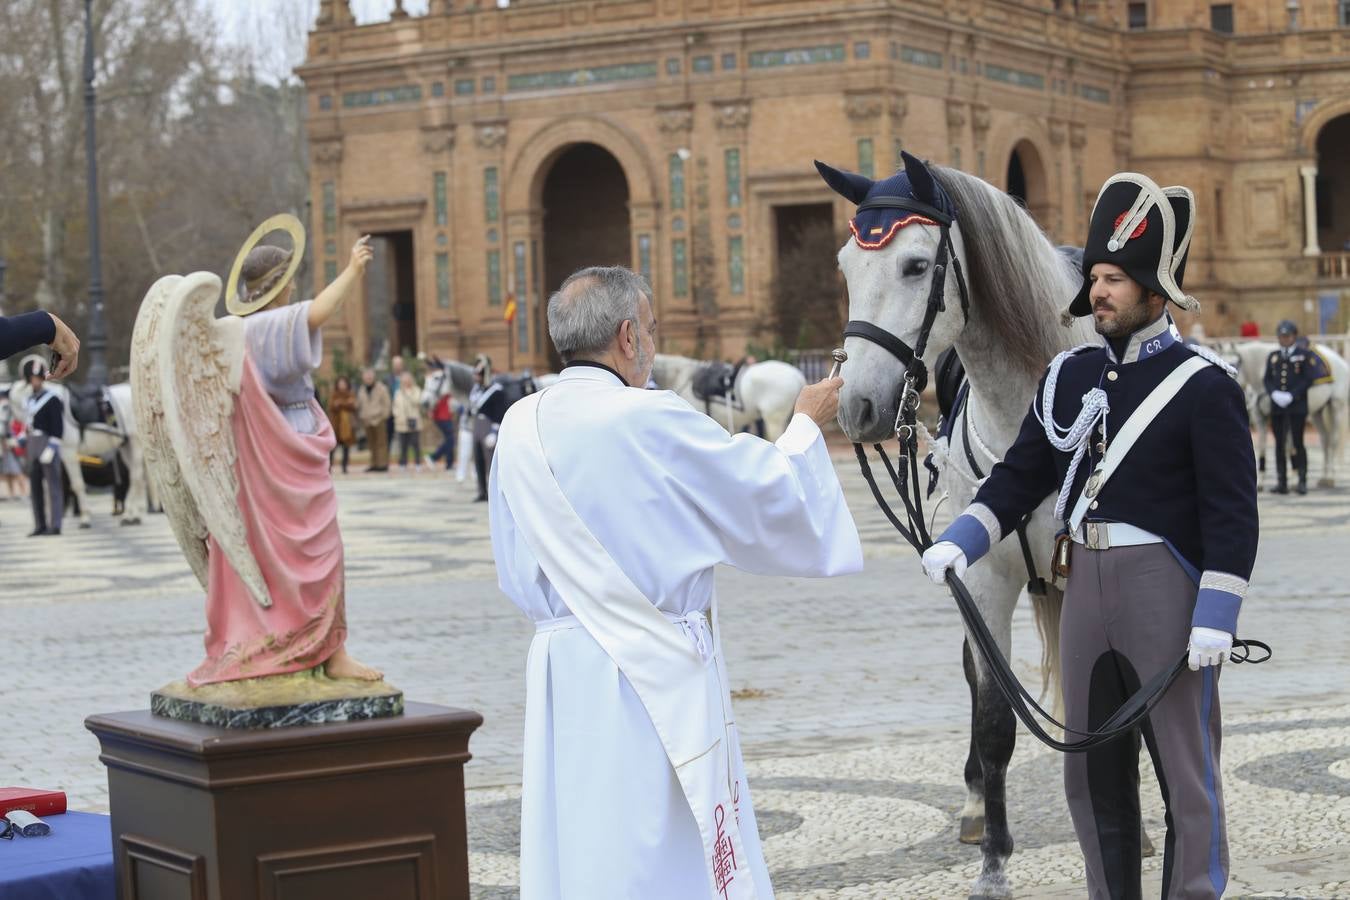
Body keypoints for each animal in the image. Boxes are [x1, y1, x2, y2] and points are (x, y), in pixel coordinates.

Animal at [7, 358, 145, 528]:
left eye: (5, 406)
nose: (8, 438)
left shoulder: (69, 452)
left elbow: (77, 484)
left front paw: (85, 518)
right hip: (126, 446)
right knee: (135, 478)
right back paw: (133, 515)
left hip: (136, 443)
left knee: (136, 477)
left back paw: (130, 515)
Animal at [820, 155, 1096, 900]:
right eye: (846, 266)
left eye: (916, 265)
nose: (855, 406)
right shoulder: (986, 581)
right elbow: (996, 719)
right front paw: (996, 861)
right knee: (978, 678)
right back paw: (975, 807)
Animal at [1220, 340, 1344, 493]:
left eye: (1234, 364)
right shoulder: (1260, 417)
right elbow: (1262, 447)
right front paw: (1261, 482)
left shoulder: (1283, 416)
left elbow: (1288, 447)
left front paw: (1293, 481)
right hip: (1317, 413)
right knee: (1325, 440)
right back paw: (1324, 477)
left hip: (1336, 407)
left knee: (1334, 440)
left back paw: (1332, 477)